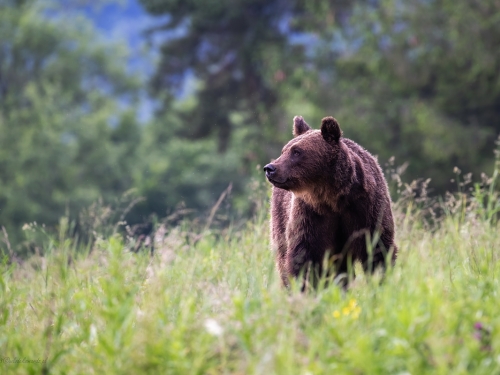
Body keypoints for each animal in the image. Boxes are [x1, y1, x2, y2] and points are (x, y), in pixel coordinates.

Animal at [264, 116, 396, 290]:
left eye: (296, 152)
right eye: (284, 150)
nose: (270, 168)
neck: (333, 198)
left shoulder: (367, 210)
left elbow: (377, 251)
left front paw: (380, 284)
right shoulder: (310, 214)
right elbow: (303, 256)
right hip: (280, 217)